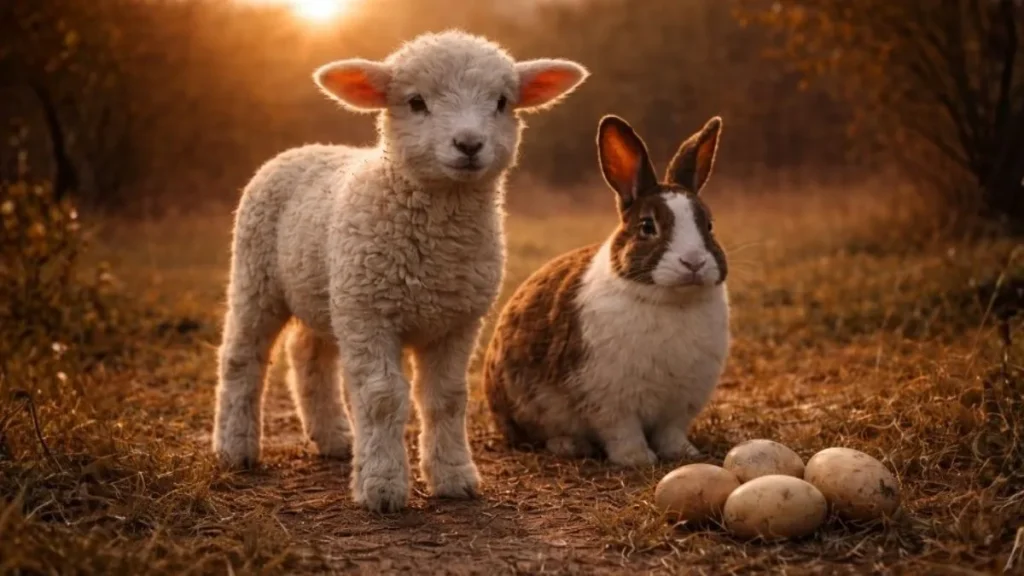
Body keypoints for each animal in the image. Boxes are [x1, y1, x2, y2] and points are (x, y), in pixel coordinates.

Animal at [482, 114, 730, 466]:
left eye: (708, 225)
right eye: (647, 227)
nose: (693, 261)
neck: (671, 300)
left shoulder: (679, 405)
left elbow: (670, 431)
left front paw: (684, 453)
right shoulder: (610, 401)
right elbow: (622, 431)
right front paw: (637, 459)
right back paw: (570, 445)